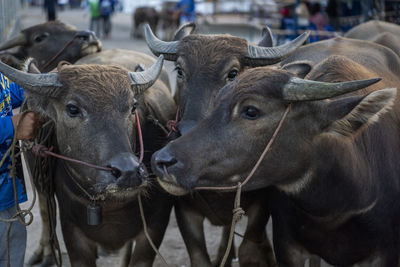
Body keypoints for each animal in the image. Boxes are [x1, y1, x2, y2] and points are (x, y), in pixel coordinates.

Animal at [0, 55, 177, 266]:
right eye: (72, 109)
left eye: (133, 106)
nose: (128, 172)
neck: (111, 204)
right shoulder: (72, 231)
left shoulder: (155, 227)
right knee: (45, 208)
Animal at [144, 24, 310, 266]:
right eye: (180, 70)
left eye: (232, 74)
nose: (185, 132)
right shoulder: (184, 210)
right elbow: (199, 257)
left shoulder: (260, 206)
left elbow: (250, 248)